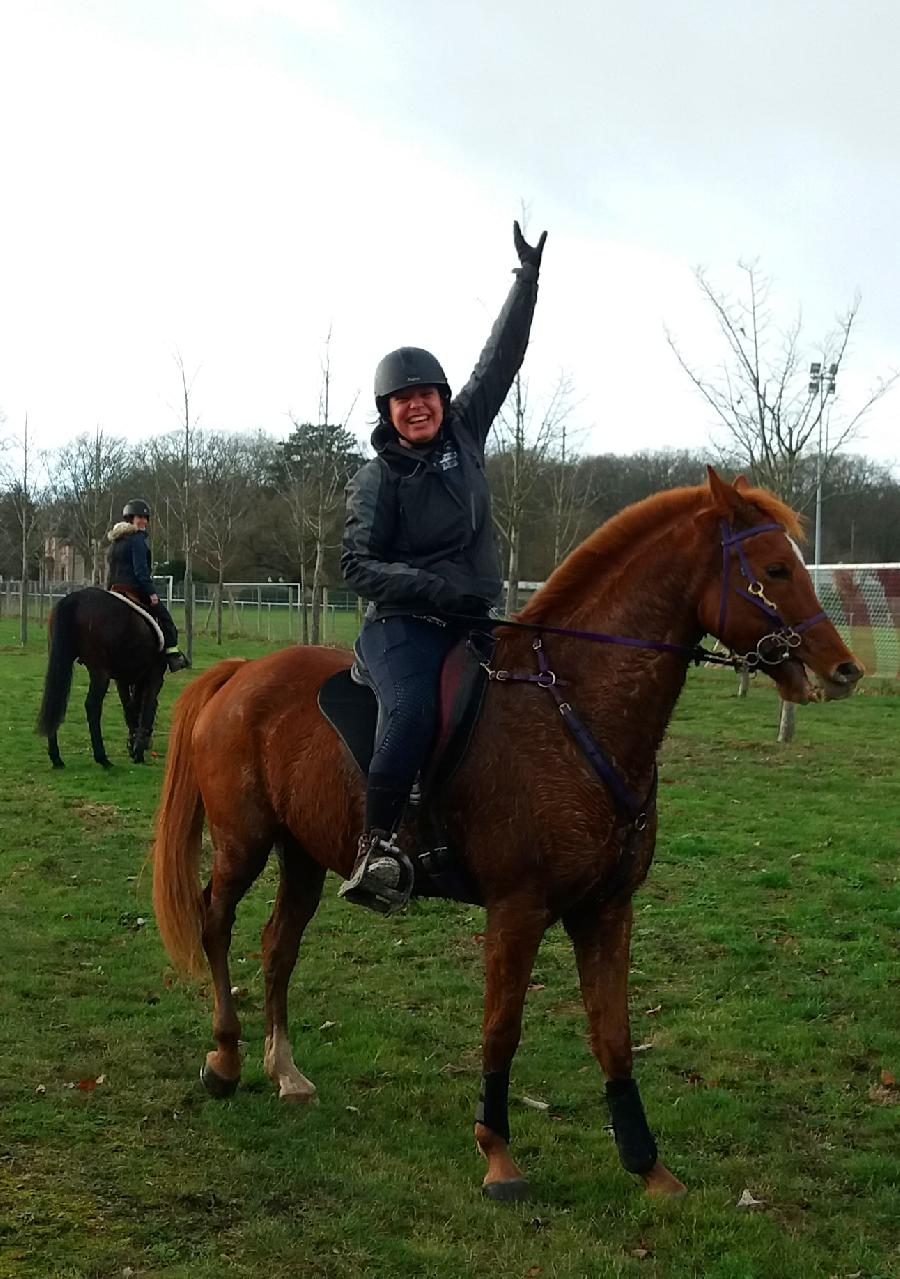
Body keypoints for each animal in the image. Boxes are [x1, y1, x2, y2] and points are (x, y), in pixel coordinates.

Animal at [36, 585, 167, 762]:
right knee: (92, 706)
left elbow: (130, 707)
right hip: (100, 672)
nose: (148, 745)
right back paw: (102, 758)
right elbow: (147, 707)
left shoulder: (124, 679)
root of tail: (75, 598)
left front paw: (133, 745)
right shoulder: (155, 676)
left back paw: (56, 758)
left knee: (57, 699)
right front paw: (138, 752)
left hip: (62, 660)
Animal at [150, 470, 859, 1197]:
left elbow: (613, 1034)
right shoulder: (518, 908)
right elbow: (502, 1028)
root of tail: (241, 672)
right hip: (243, 843)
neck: (573, 708)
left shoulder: (608, 909)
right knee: (215, 922)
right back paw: (225, 1059)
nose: (842, 669)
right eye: (774, 569)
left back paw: (285, 1070)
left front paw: (647, 1162)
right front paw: (498, 1154)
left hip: (303, 854)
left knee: (278, 945)